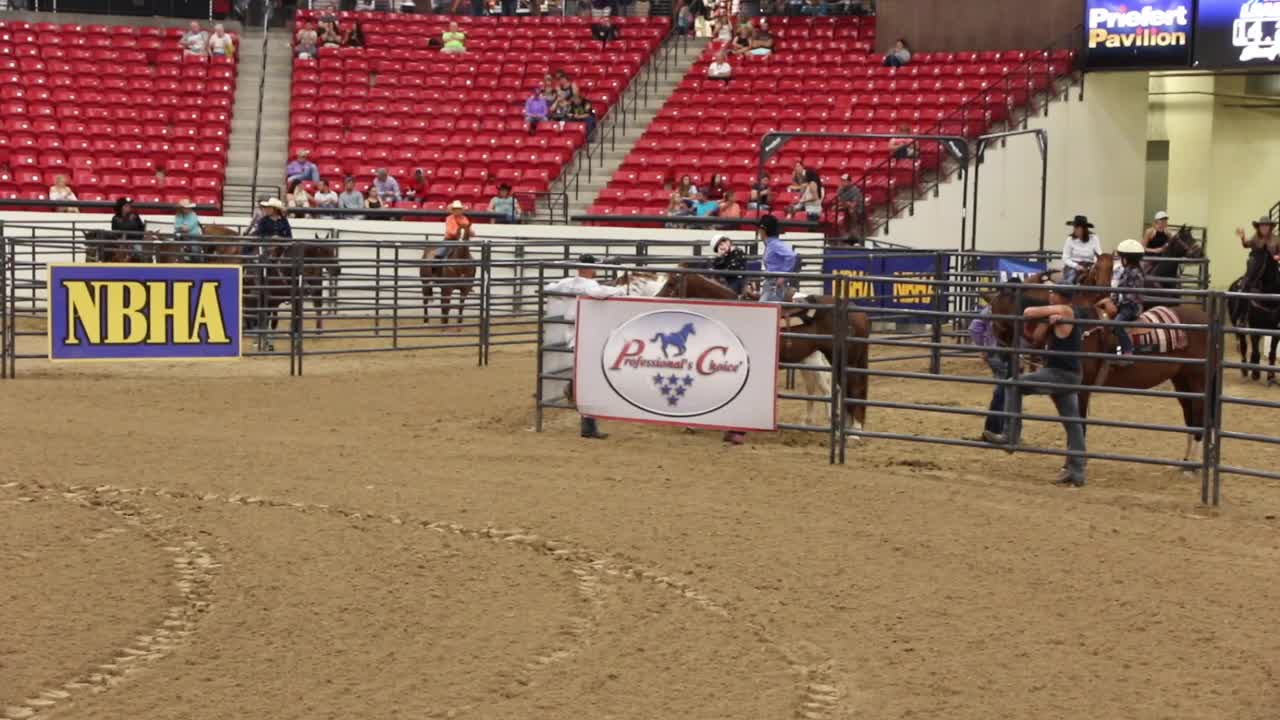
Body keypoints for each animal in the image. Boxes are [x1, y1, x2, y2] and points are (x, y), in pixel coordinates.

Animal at [655, 271, 875, 435]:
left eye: (670, 285)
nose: (656, 300)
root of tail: (858, 312)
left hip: (843, 358)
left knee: (850, 387)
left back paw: (853, 431)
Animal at [983, 285, 1213, 466]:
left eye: (997, 321)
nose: (1001, 358)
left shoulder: (1081, 389)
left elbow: (1080, 423)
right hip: (1182, 381)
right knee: (1191, 416)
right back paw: (1187, 461)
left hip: (1197, 380)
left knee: (1199, 415)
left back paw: (1192, 465)